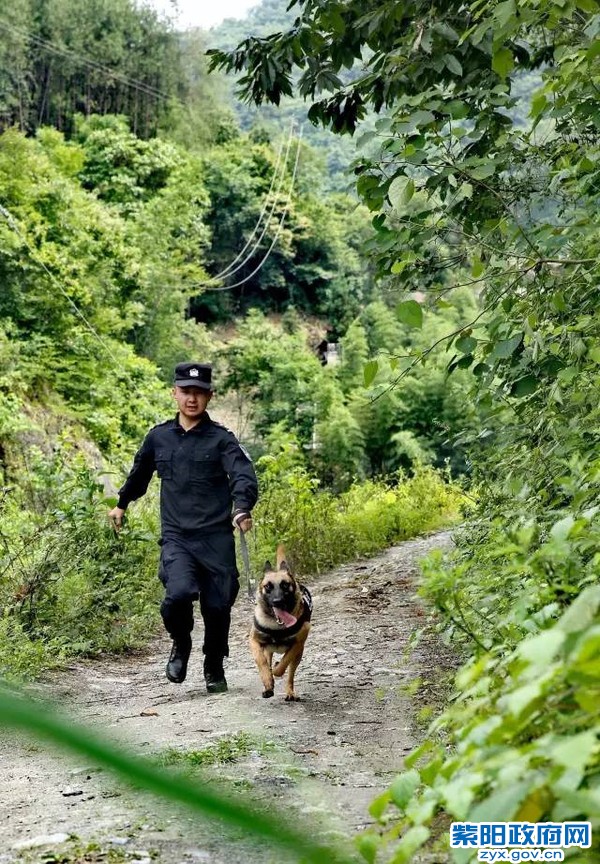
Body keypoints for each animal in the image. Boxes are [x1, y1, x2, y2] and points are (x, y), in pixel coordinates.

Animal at [250, 548, 314, 704]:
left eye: (285, 585)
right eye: (268, 586)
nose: (277, 601)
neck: (277, 625)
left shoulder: (298, 643)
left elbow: (283, 664)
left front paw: (276, 669)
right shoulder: (254, 641)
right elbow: (261, 661)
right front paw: (268, 681)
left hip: (298, 655)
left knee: (290, 674)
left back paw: (290, 692)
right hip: (268, 650)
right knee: (267, 660)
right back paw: (268, 687)